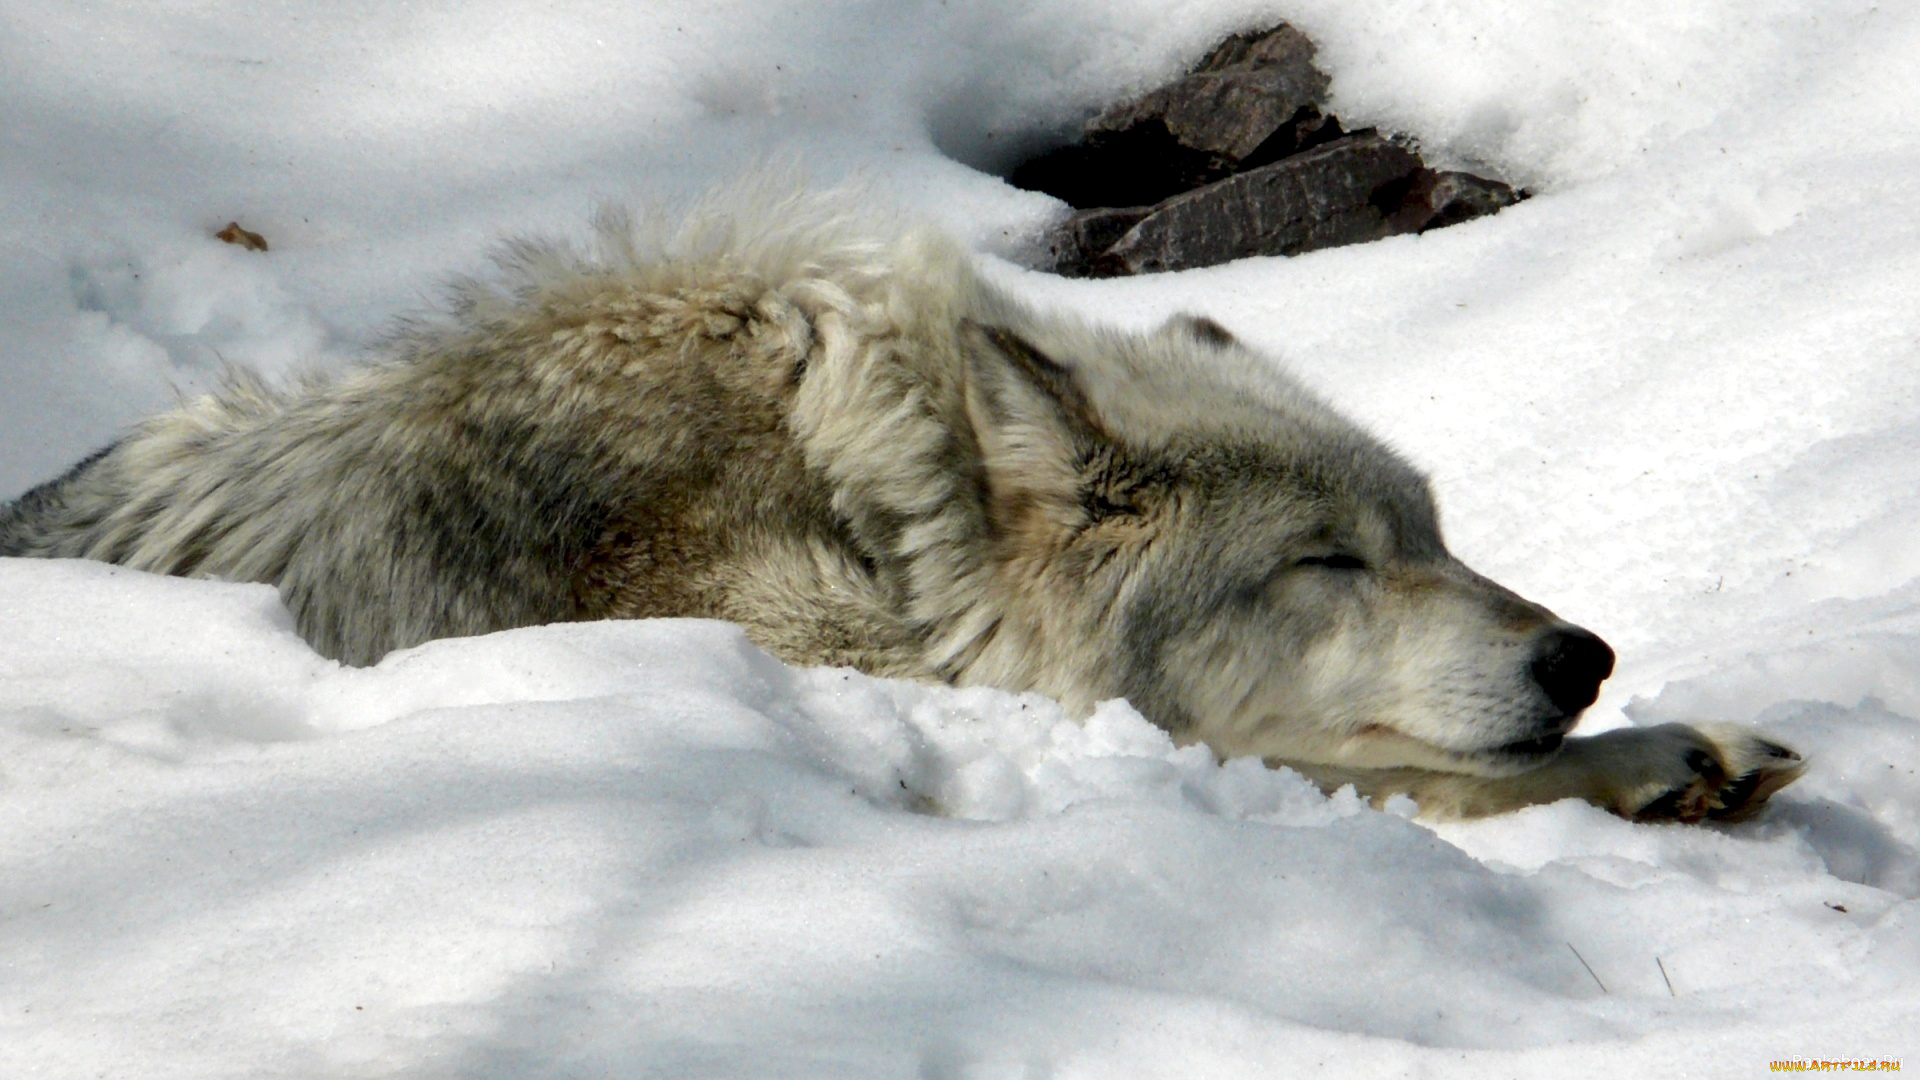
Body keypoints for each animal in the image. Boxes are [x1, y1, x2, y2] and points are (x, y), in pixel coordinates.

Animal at [0, 186, 1802, 821]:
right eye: (1326, 562)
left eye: (1435, 539)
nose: (1582, 656)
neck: (882, 514)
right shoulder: (821, 662)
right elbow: (1366, 767)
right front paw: (1649, 758)